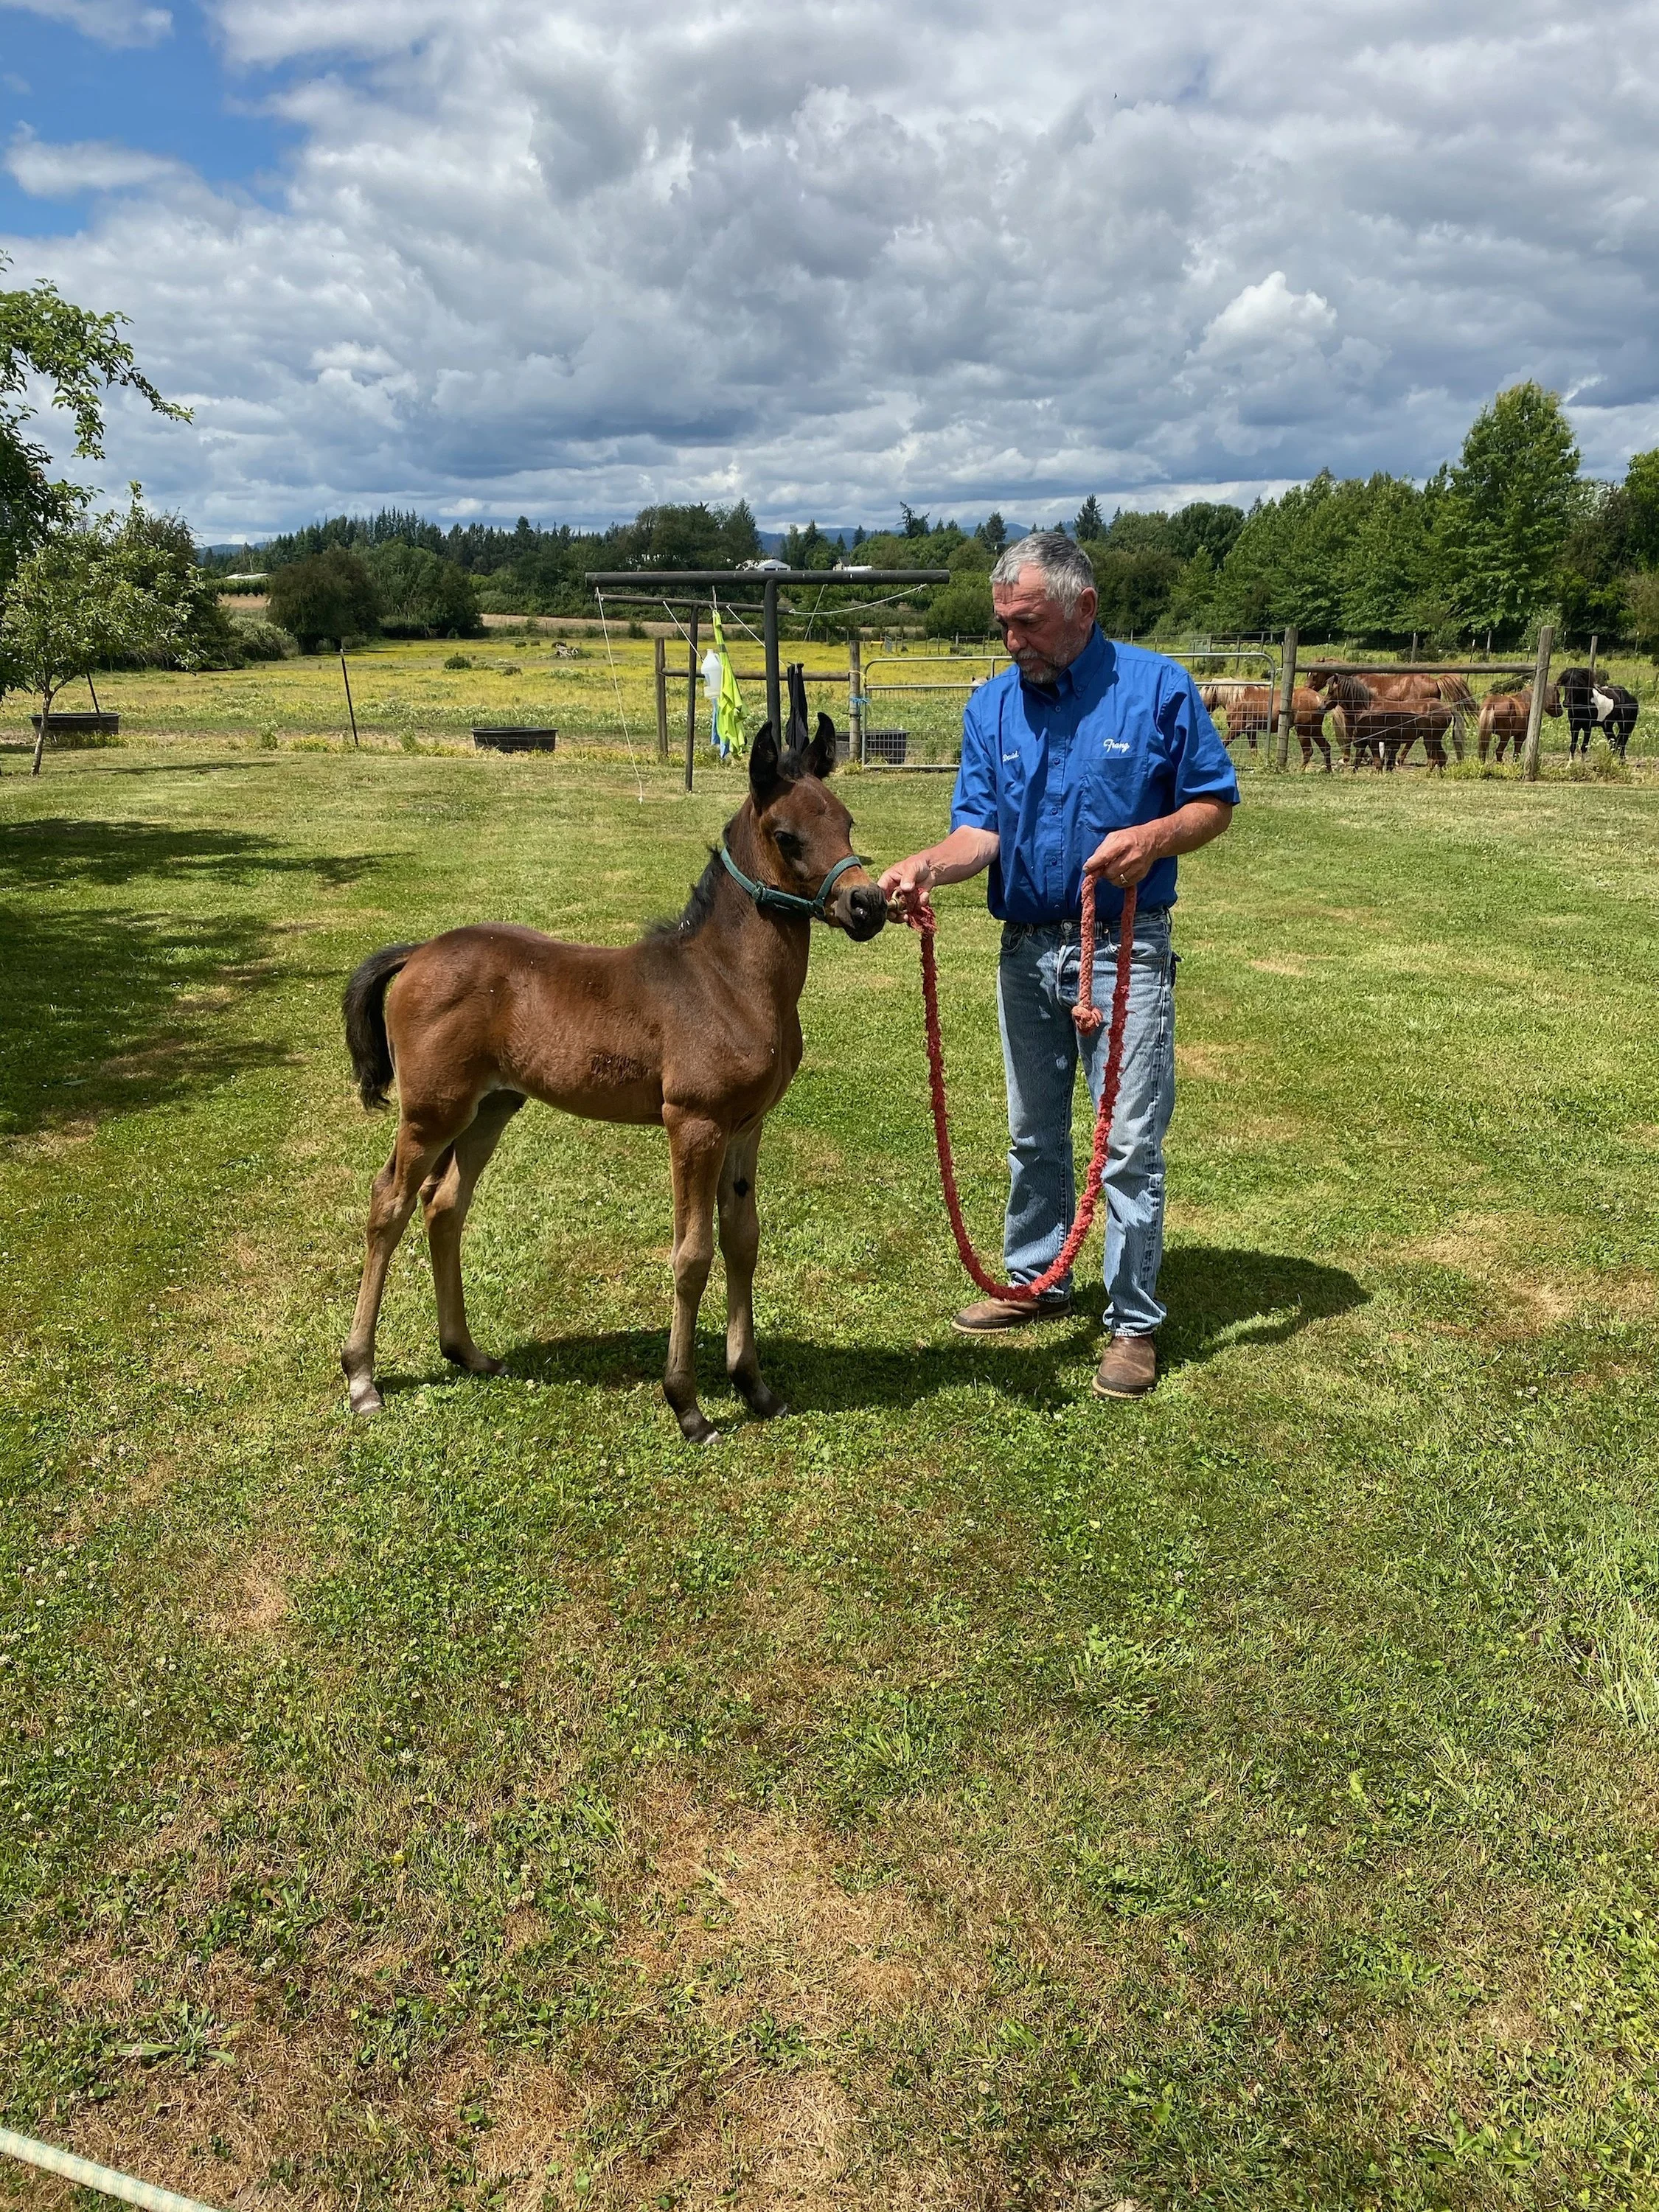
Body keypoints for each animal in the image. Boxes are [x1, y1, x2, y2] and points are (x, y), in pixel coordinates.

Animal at [338, 686, 887, 1443]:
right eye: (786, 836)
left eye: (847, 820)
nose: (869, 903)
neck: (726, 980)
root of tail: (418, 952)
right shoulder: (694, 1125)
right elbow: (692, 1254)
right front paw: (687, 1404)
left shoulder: (747, 1126)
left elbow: (742, 1239)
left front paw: (753, 1384)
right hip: (432, 1111)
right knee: (388, 1202)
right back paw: (362, 1375)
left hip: (490, 1108)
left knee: (444, 1205)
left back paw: (466, 1351)